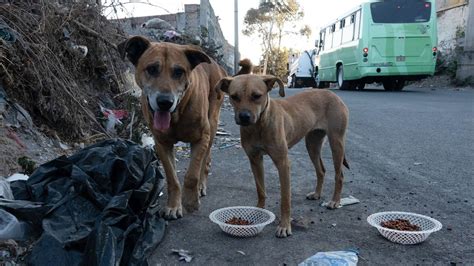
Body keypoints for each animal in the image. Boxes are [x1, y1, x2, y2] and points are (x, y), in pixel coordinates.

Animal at [120, 35, 228, 218]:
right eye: (152, 69)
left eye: (178, 72)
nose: (165, 102)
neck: (177, 114)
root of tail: (215, 63)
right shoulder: (162, 144)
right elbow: (172, 178)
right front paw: (173, 206)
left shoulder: (202, 137)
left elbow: (192, 174)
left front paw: (190, 201)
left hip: (213, 124)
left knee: (205, 160)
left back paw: (201, 185)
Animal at [215, 73, 348, 237]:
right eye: (234, 97)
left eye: (256, 96)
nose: (244, 117)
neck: (259, 125)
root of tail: (331, 93)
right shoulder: (255, 160)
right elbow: (260, 190)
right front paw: (259, 212)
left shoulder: (283, 163)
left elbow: (285, 199)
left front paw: (284, 226)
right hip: (312, 144)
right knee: (321, 170)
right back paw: (317, 194)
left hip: (336, 142)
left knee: (339, 175)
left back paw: (335, 201)